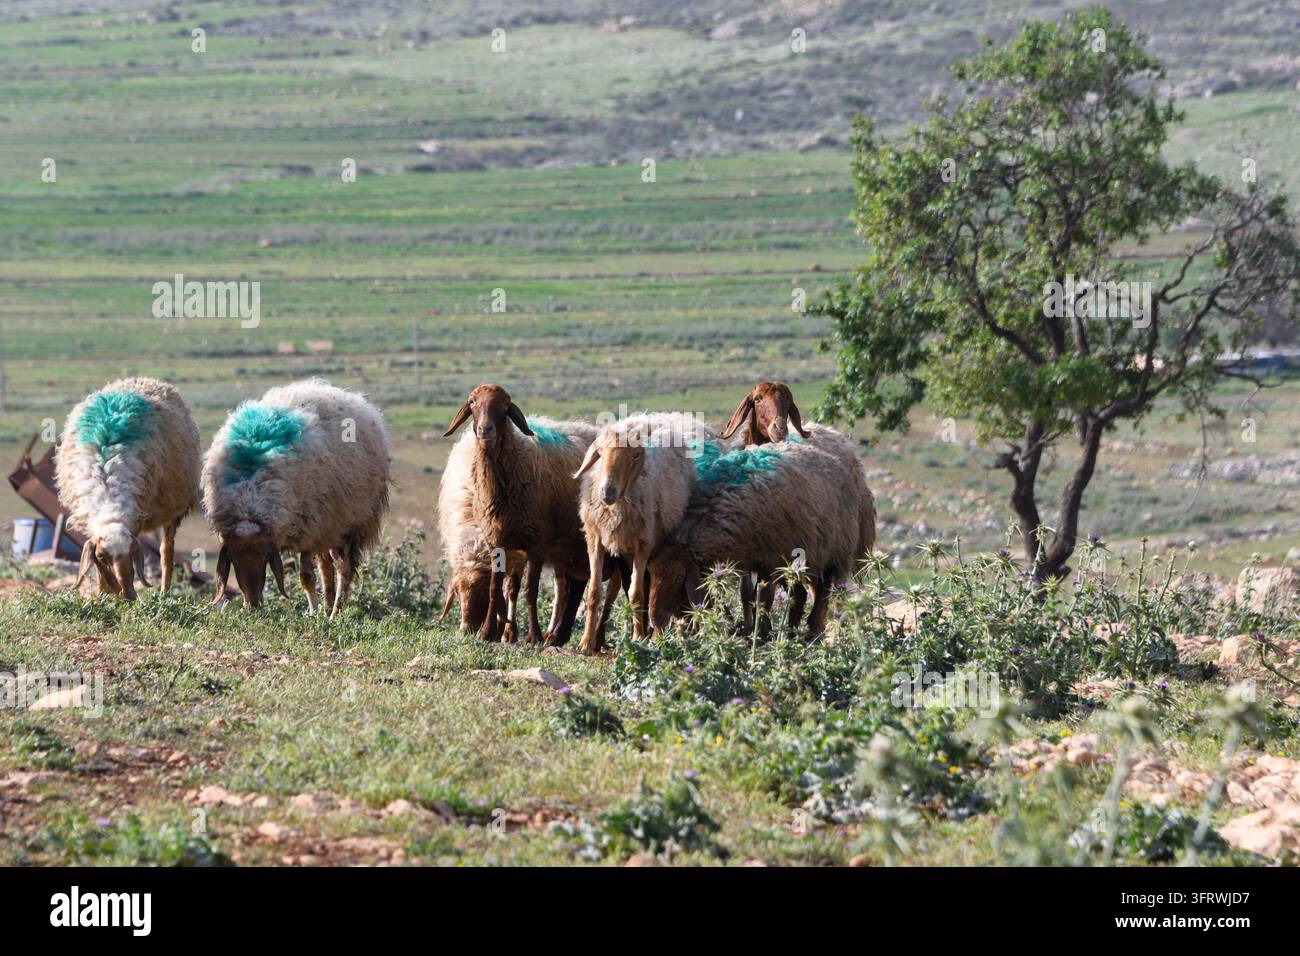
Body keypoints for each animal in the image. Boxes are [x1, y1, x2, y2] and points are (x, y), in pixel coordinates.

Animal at [55, 377, 201, 600]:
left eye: (133, 553)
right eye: (101, 556)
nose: (127, 594)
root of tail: (144, 379)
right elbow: (99, 572)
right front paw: (102, 594)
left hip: (173, 508)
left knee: (166, 553)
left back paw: (165, 592)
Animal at [201, 379, 390, 620]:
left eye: (266, 558)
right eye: (233, 560)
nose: (253, 604)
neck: (249, 493)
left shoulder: (307, 528)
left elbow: (306, 578)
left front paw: (313, 612)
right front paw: (314, 611)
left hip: (351, 522)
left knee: (343, 568)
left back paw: (334, 612)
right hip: (327, 528)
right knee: (327, 567)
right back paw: (328, 605)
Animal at [442, 384, 596, 645]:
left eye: (505, 407)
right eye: (472, 402)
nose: (485, 430)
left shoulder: (534, 543)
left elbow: (526, 591)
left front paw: (527, 634)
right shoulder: (500, 543)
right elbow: (502, 589)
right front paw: (496, 631)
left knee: (575, 585)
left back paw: (556, 635)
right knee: (564, 585)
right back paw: (554, 633)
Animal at [572, 412, 716, 654]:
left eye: (635, 457)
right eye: (600, 453)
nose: (607, 492)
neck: (615, 507)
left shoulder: (643, 544)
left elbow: (637, 594)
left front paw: (638, 637)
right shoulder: (595, 539)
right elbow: (594, 592)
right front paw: (585, 643)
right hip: (622, 550)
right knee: (615, 588)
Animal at [647, 433, 873, 638]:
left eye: (678, 577)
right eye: (652, 575)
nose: (654, 619)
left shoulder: (768, 557)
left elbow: (763, 599)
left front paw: (761, 632)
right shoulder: (756, 559)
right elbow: (750, 596)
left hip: (830, 548)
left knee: (823, 592)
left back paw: (812, 631)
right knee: (800, 594)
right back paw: (790, 631)